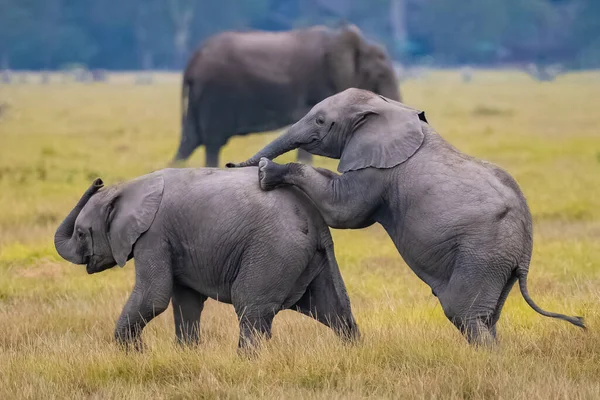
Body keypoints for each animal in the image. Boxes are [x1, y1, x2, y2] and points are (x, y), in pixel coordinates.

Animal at [54, 168, 358, 350]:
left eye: (81, 234)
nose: (98, 180)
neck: (131, 186)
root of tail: (317, 221)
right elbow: (185, 301)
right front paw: (185, 353)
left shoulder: (153, 236)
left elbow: (154, 297)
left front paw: (132, 353)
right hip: (306, 255)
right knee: (333, 309)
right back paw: (352, 350)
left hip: (275, 251)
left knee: (250, 307)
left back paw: (245, 363)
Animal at [226, 89, 584, 346]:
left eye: (320, 121)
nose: (230, 165)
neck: (388, 107)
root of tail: (525, 249)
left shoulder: (380, 168)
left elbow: (344, 211)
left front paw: (266, 172)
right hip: (499, 263)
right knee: (486, 317)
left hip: (484, 252)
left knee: (464, 313)